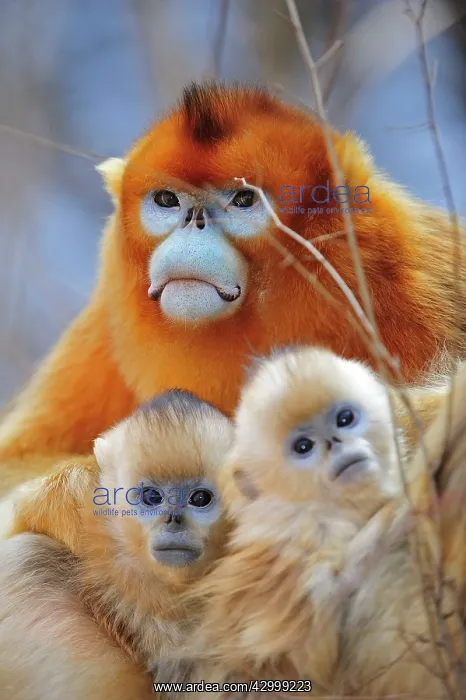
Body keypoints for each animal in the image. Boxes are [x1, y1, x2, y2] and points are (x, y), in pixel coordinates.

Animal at [0, 80, 464, 498]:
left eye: (242, 200)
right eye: (167, 200)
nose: (194, 223)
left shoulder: (415, 281)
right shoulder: (108, 318)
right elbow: (18, 463)